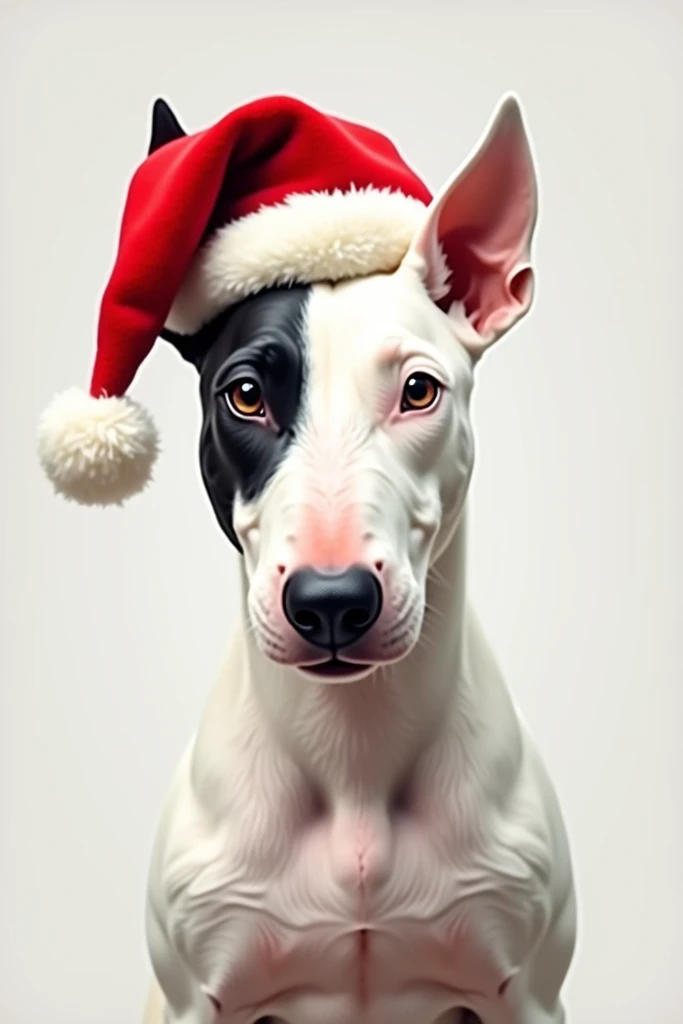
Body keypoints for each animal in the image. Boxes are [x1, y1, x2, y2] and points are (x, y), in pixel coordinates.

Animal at [135, 97, 577, 1024]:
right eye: (246, 395)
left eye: (418, 390)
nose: (331, 602)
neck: (354, 756)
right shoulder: (192, 998)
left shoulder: (528, 992)